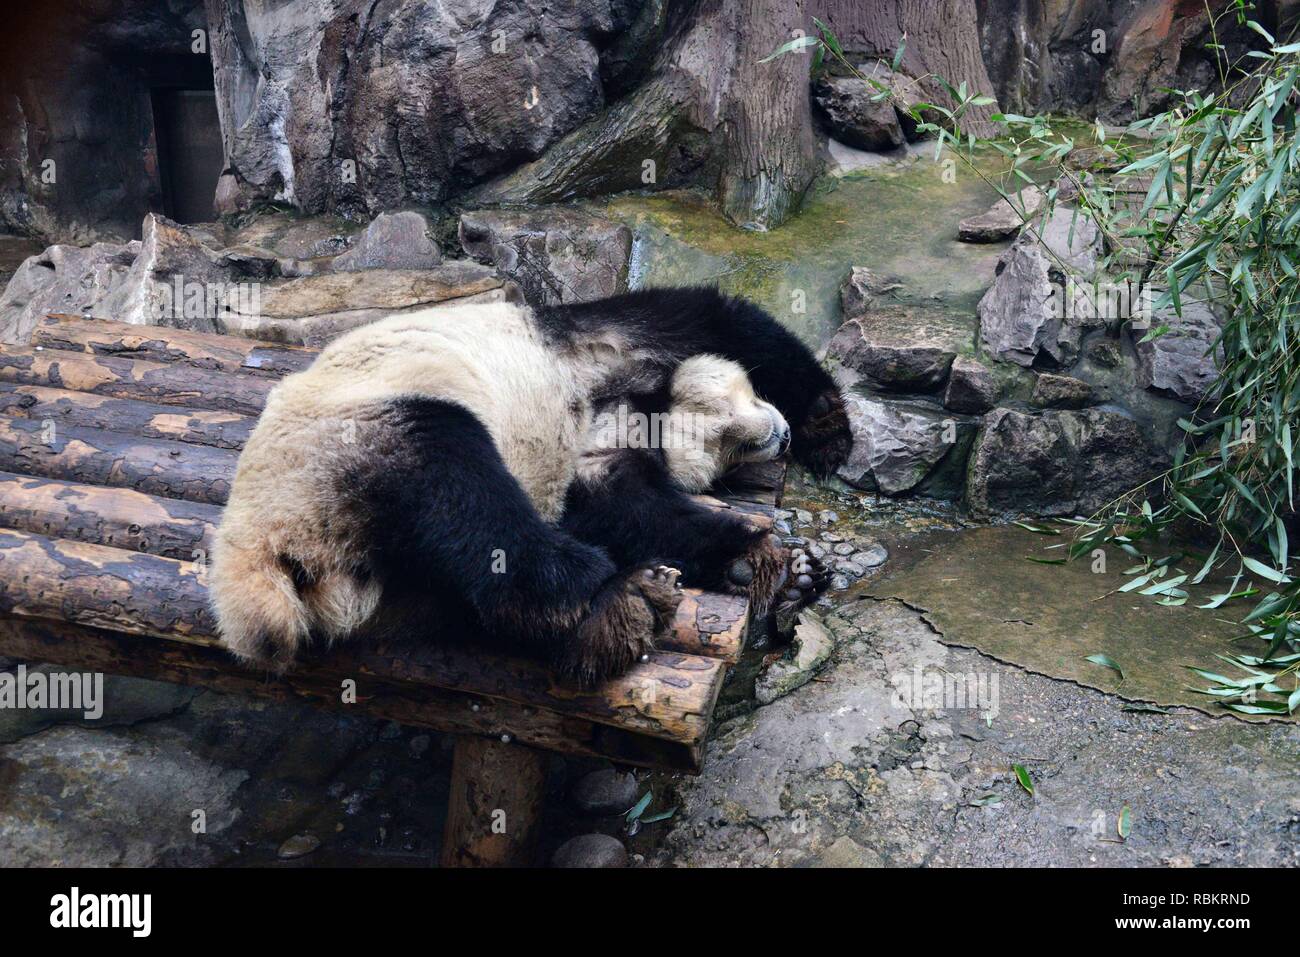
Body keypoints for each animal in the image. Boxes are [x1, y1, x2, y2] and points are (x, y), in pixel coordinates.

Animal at [210, 283, 852, 681]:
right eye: (731, 440)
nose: (778, 437)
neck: (636, 400)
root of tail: (260, 550)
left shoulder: (599, 441)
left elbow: (626, 504)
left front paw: (781, 564)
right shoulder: (599, 344)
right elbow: (714, 318)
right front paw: (822, 431)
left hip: (383, 586)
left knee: (463, 599)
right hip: (356, 436)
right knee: (468, 500)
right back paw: (618, 595)